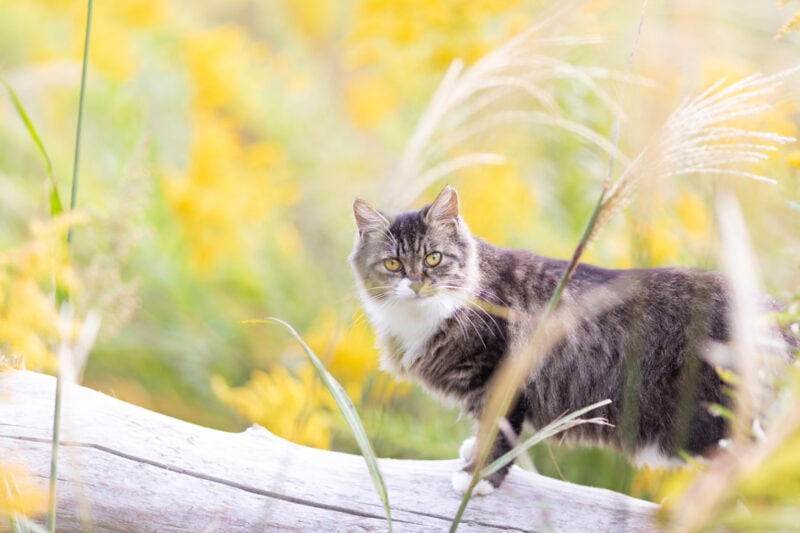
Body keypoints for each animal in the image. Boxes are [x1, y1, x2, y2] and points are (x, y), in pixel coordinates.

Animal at [346, 186, 796, 494]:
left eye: (434, 258)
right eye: (394, 264)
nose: (417, 284)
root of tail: (777, 311)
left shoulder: (500, 378)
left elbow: (497, 436)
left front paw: (478, 480)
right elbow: (485, 433)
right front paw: (472, 458)